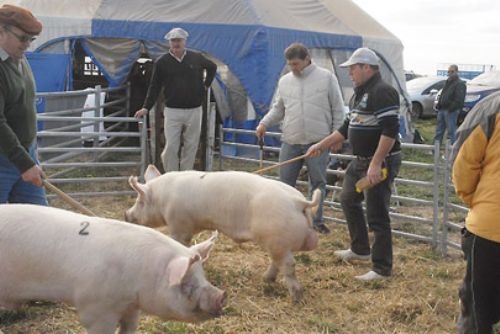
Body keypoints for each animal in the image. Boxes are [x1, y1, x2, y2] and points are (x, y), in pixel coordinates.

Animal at [0, 204, 227, 334]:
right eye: (186, 283)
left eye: (203, 275)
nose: (222, 295)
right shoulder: (95, 308)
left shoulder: (132, 307)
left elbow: (129, 328)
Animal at [125, 166, 320, 304]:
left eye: (140, 201)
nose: (126, 215)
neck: (162, 199)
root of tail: (299, 201)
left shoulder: (179, 225)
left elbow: (180, 245)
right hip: (279, 243)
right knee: (278, 262)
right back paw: (266, 279)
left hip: (277, 240)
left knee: (288, 265)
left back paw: (296, 298)